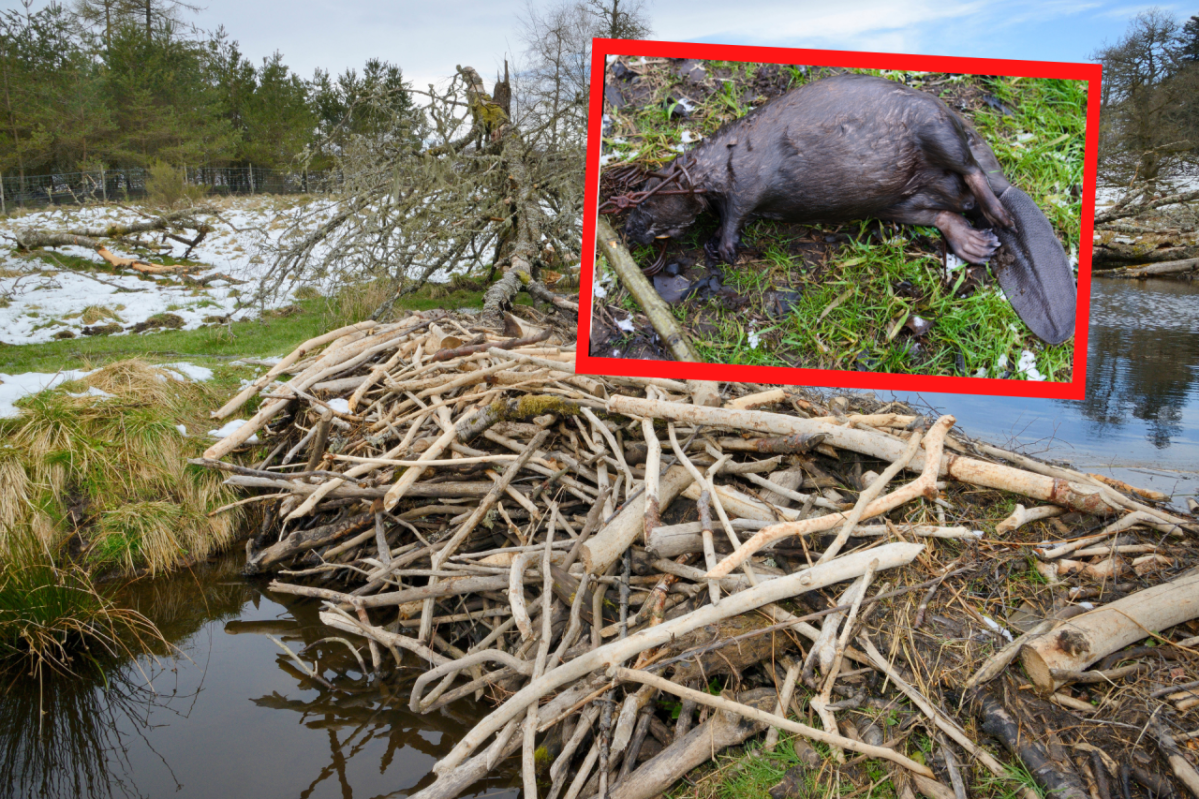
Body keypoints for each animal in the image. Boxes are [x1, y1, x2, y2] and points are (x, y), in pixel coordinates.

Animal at [628, 74, 1079, 345]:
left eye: (646, 198)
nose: (630, 230)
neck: (721, 157)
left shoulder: (746, 176)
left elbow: (737, 209)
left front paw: (721, 246)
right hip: (900, 203)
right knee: (942, 212)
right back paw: (976, 243)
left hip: (935, 126)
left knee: (971, 172)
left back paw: (999, 216)